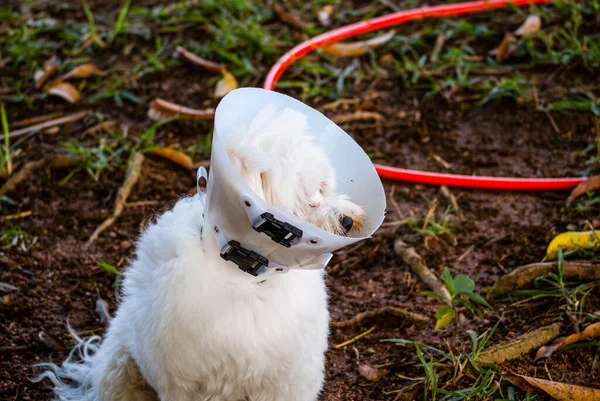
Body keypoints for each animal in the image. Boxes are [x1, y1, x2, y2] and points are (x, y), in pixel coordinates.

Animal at [38, 104, 366, 400]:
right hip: (119, 366)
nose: (348, 221)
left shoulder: (286, 381)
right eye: (308, 201)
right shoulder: (179, 381)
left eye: (324, 187)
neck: (247, 279)